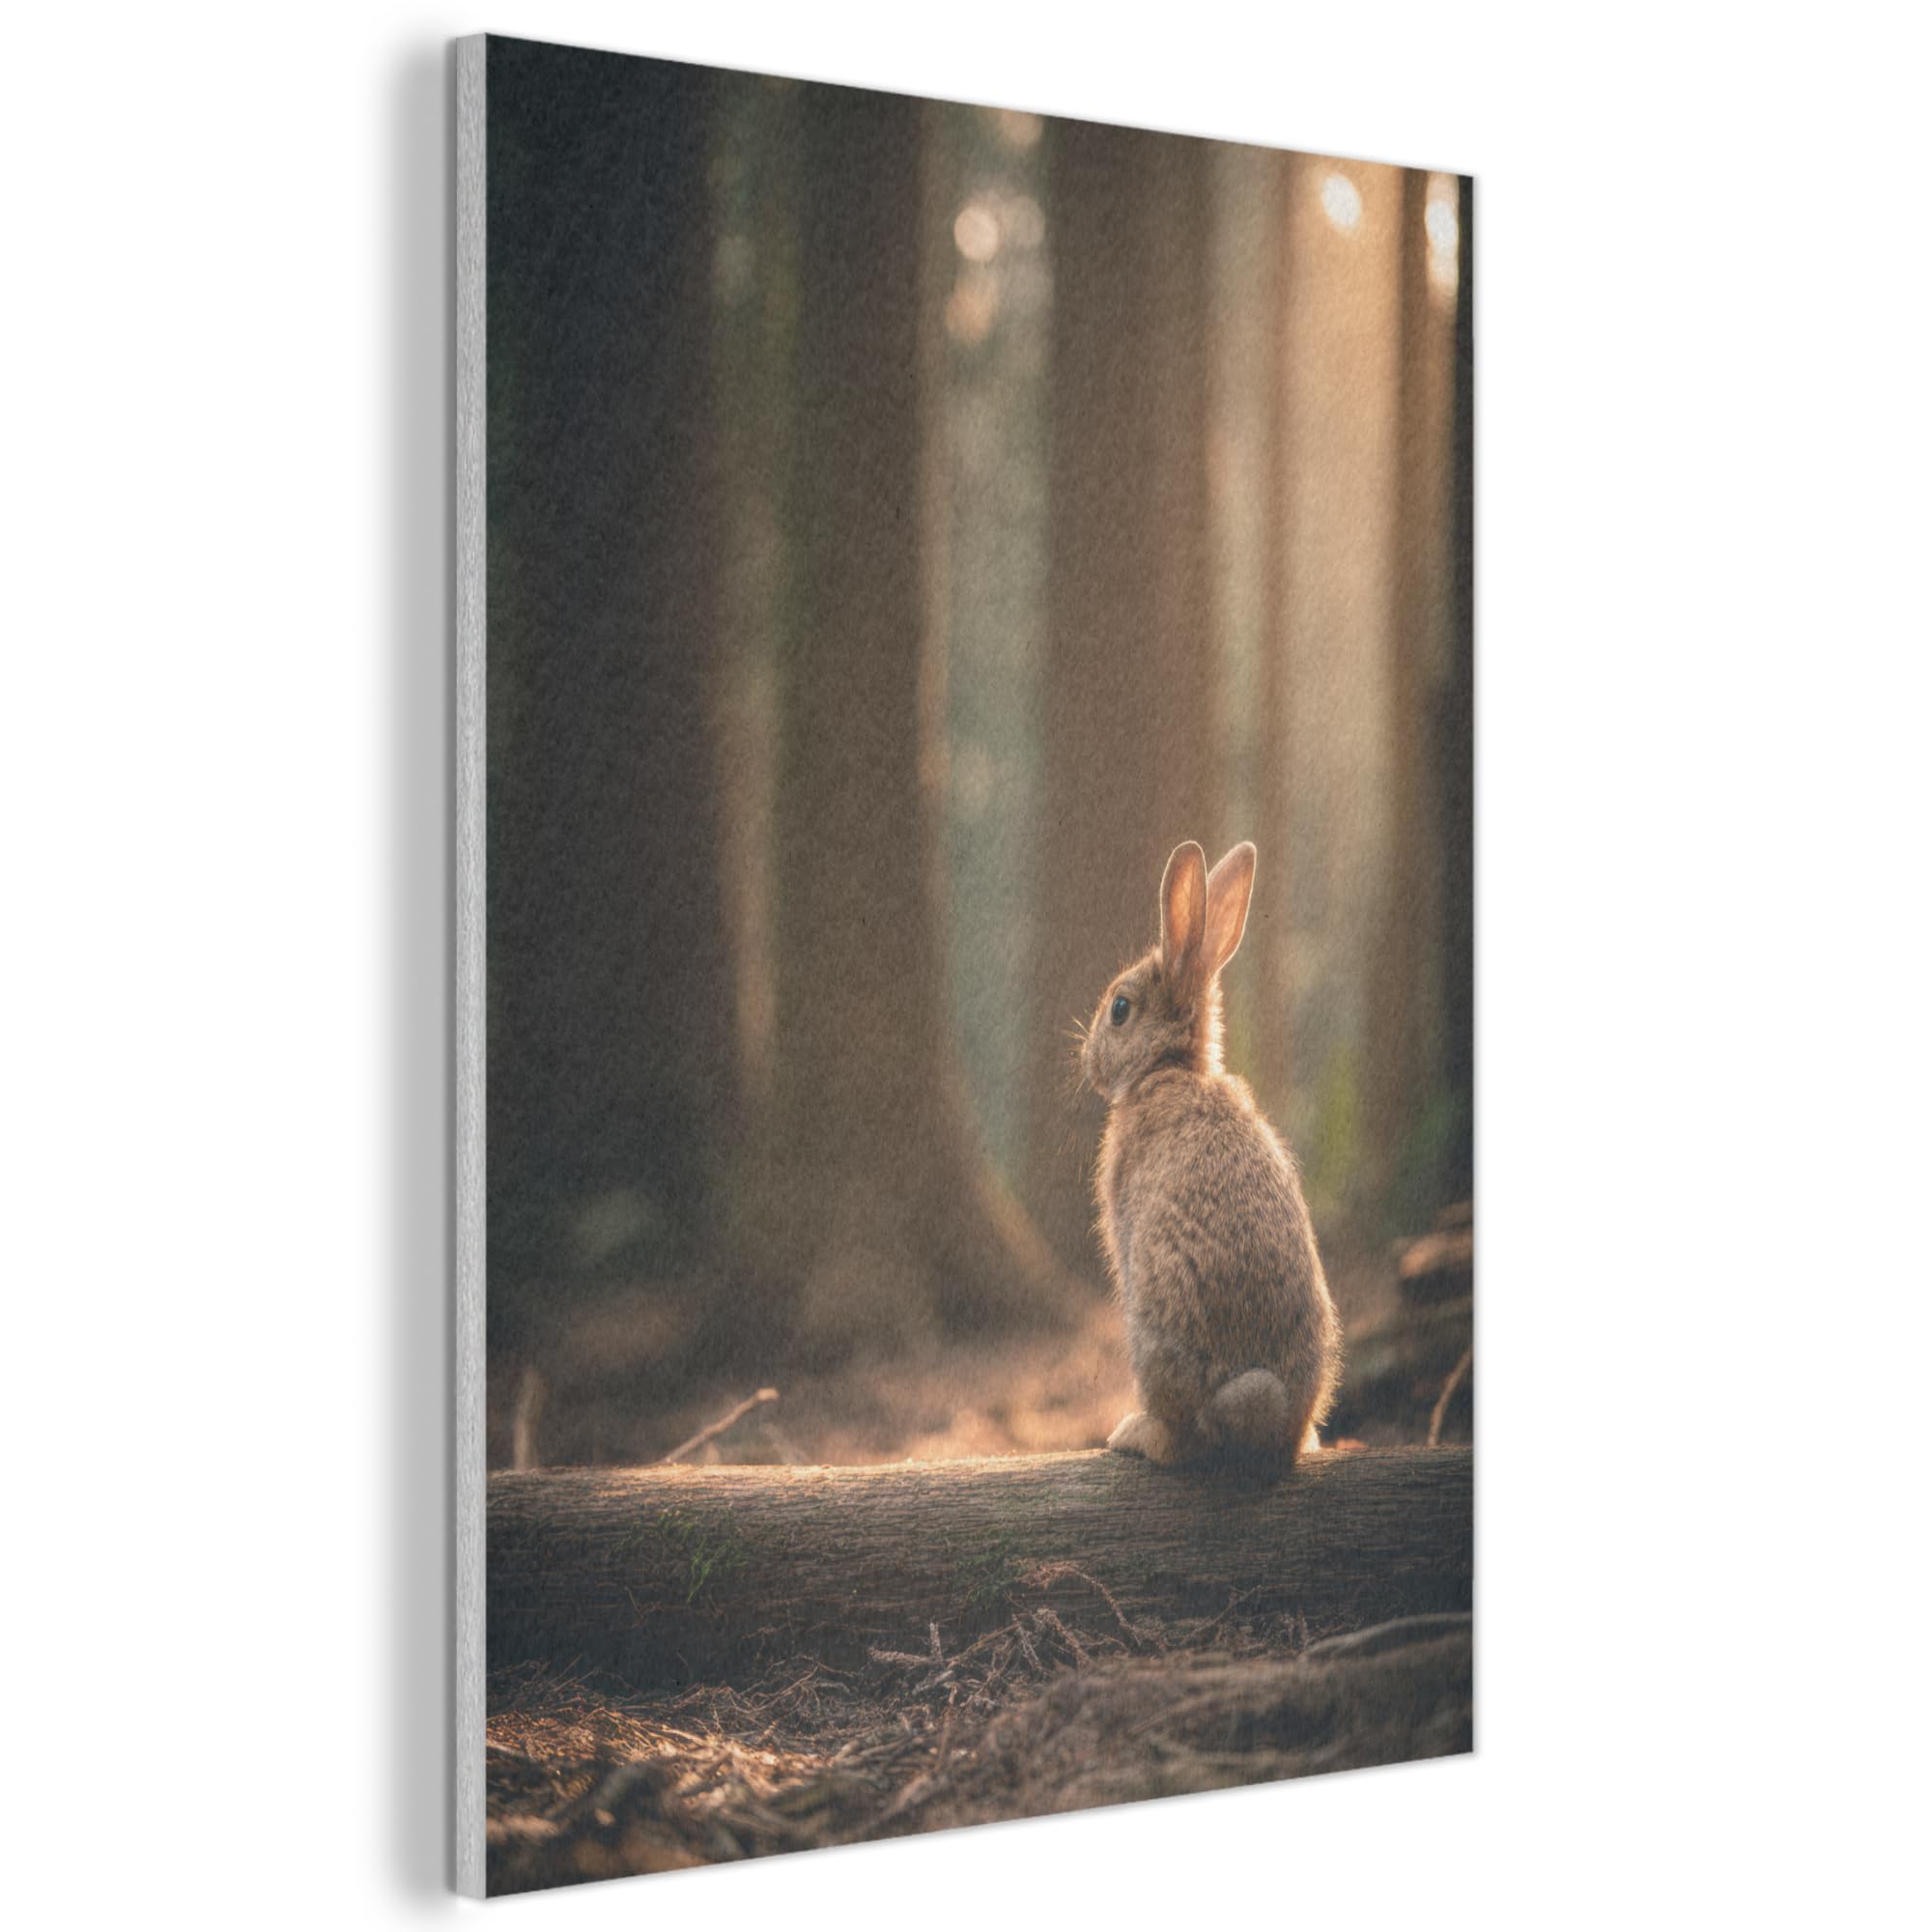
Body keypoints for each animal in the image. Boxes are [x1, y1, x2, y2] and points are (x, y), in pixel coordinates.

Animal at [1081, 839, 1341, 1467]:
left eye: (1120, 1009)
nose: (1088, 1060)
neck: (1169, 1067)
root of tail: (1271, 1419)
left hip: (1154, 1326)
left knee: (1184, 1437)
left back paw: (1135, 1434)